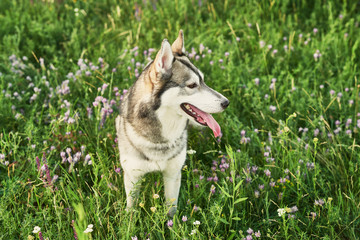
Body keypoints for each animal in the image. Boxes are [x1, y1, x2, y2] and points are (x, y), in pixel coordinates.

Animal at [115, 29, 229, 216]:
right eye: (192, 85)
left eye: (203, 80)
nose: (226, 103)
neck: (162, 136)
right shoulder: (133, 175)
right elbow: (131, 209)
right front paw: (129, 222)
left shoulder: (173, 174)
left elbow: (171, 209)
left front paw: (171, 223)